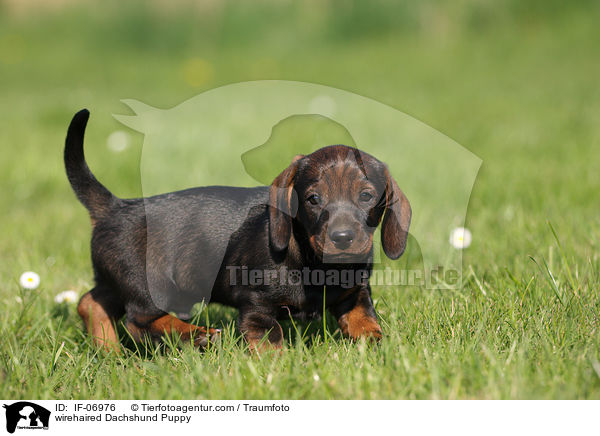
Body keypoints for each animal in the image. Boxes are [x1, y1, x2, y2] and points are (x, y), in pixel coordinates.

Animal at [67, 108, 412, 350]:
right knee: (139, 322)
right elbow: (270, 343)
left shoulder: (356, 296)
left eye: (366, 196)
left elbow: (366, 324)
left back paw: (109, 352)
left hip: (117, 278)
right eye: (313, 199)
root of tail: (116, 207)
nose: (342, 239)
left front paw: (378, 348)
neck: (312, 261)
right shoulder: (256, 306)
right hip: (150, 285)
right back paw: (198, 335)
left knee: (91, 303)